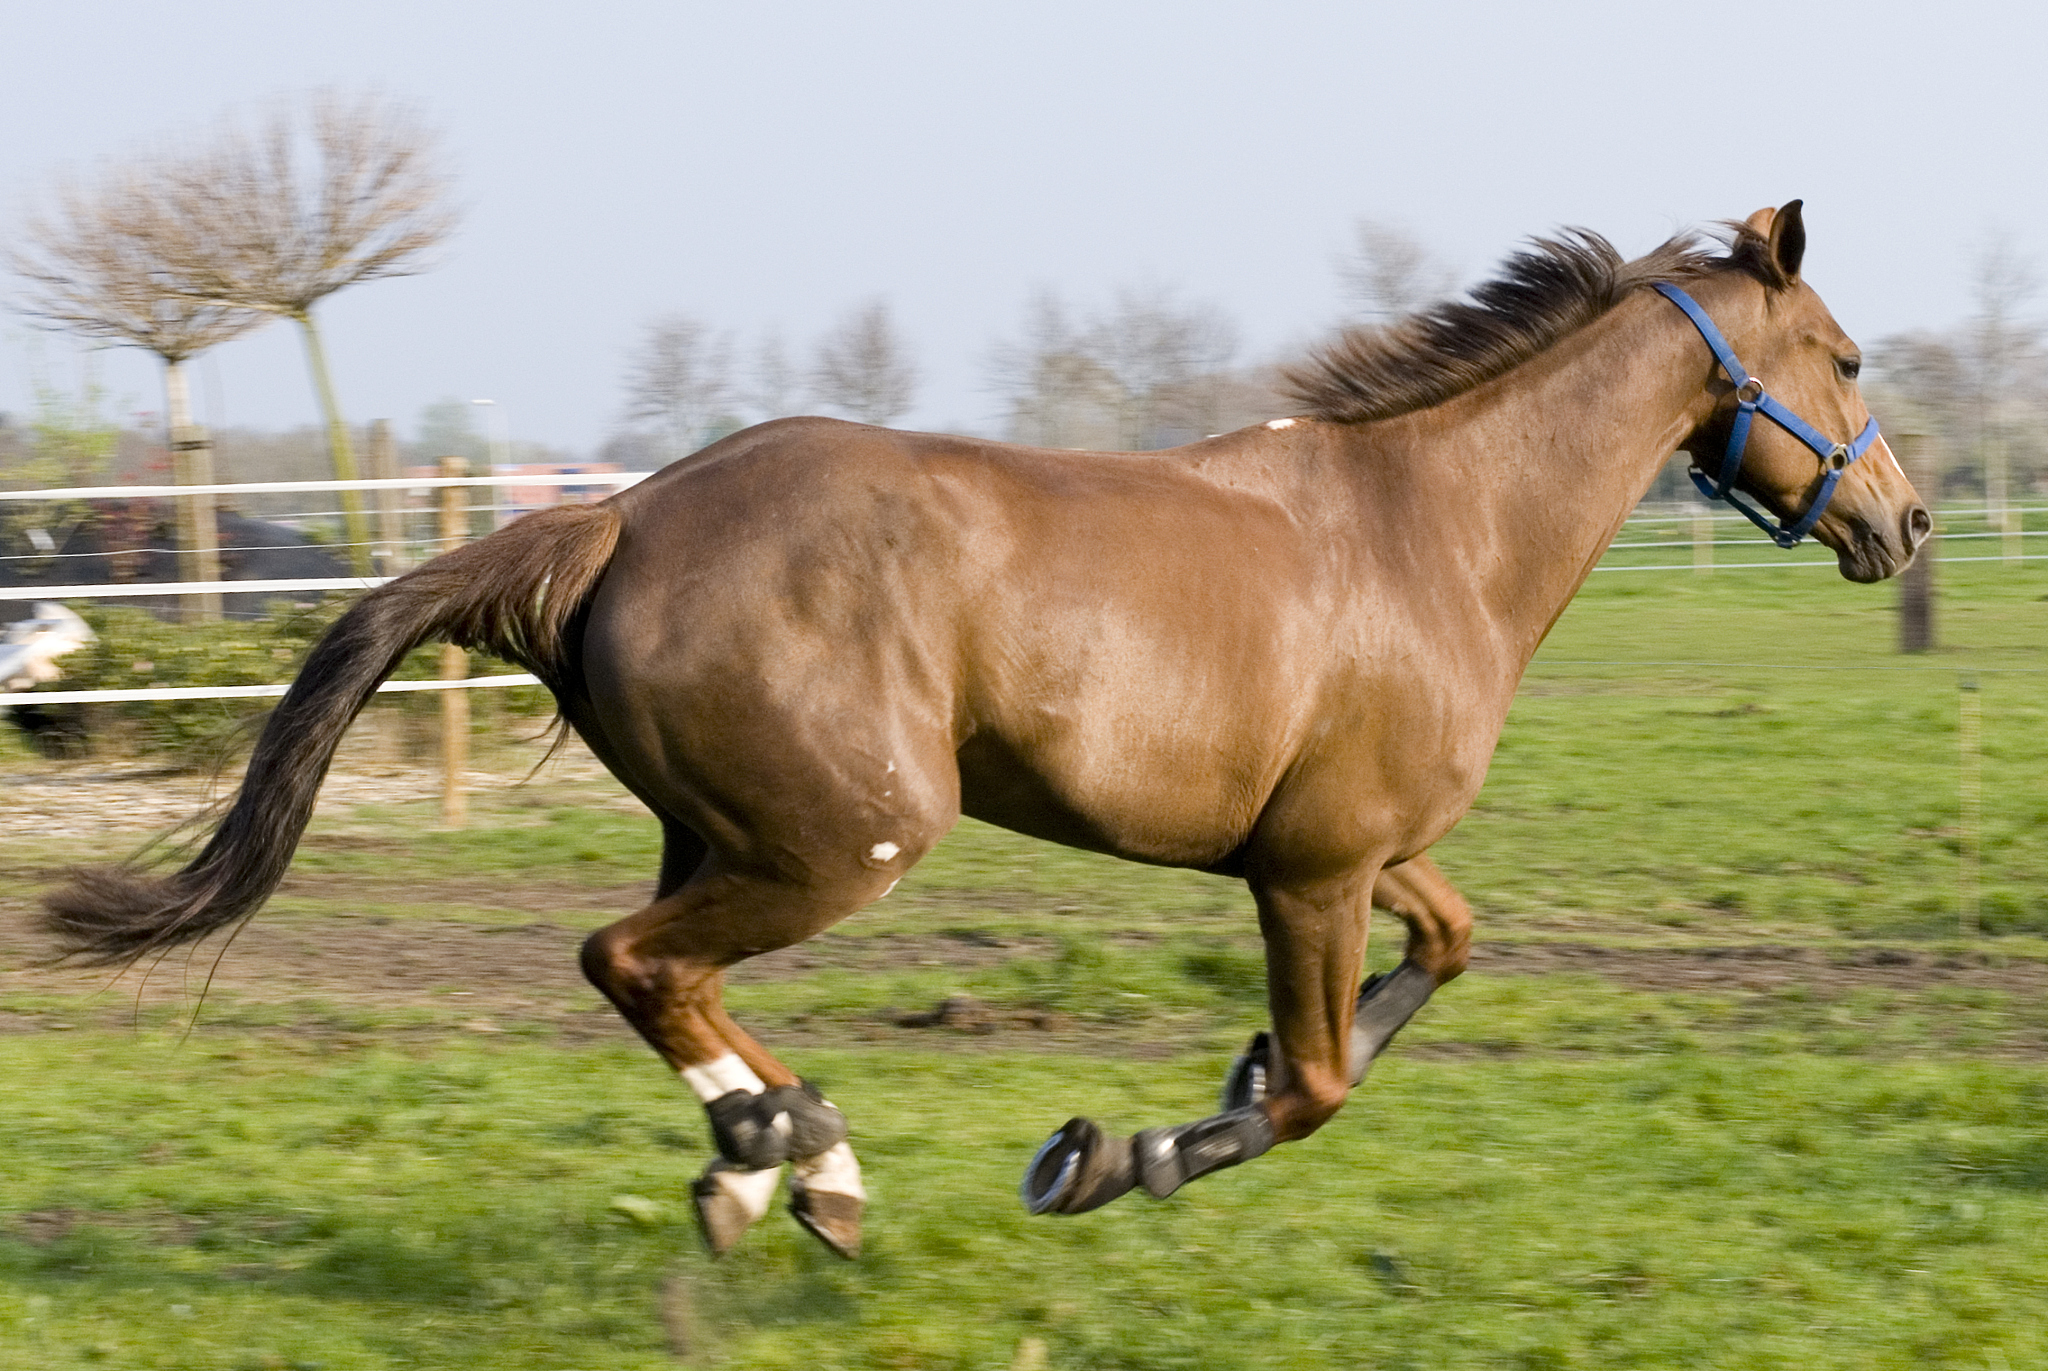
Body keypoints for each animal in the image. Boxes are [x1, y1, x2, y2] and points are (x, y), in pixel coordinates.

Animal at [41, 202, 1927, 1260]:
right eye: (1840, 355)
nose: (1902, 524)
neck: (1430, 529)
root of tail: (619, 516)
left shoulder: (1358, 850)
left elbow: (1445, 951)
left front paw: (1196, 1100)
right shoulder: (1312, 868)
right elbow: (1317, 1081)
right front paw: (1128, 1152)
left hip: (731, 831)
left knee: (668, 974)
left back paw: (789, 1162)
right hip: (844, 838)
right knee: (628, 960)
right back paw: (784, 1156)